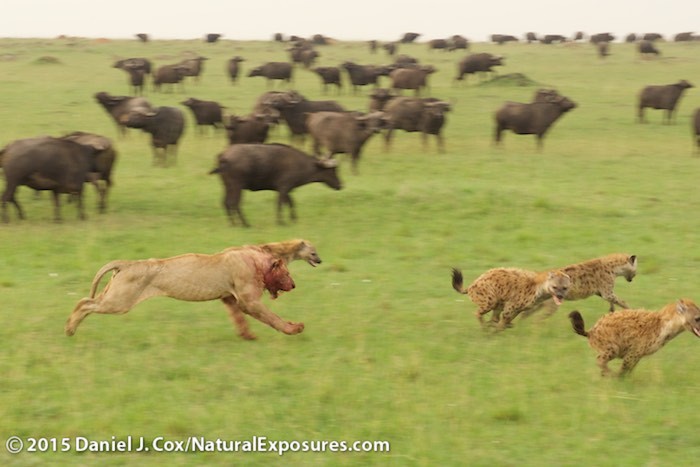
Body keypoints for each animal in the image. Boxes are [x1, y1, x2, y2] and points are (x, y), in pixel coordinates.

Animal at [65, 246, 304, 340]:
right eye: (286, 272)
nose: (294, 285)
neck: (255, 260)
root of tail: (125, 264)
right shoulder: (248, 301)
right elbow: (272, 317)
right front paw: (294, 328)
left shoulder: (229, 298)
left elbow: (239, 320)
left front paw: (248, 336)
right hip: (119, 301)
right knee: (84, 303)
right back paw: (70, 328)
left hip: (114, 295)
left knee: (85, 301)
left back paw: (70, 326)